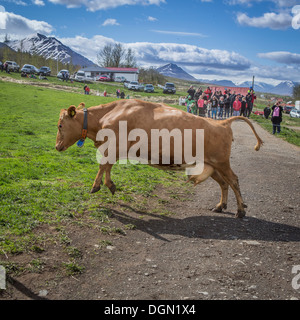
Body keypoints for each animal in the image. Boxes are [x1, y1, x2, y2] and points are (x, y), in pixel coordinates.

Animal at [56, 99, 262, 218]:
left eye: (59, 125)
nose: (56, 146)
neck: (108, 114)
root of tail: (223, 123)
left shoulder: (114, 146)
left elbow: (103, 165)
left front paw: (96, 186)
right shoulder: (114, 149)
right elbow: (107, 167)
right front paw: (110, 185)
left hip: (222, 163)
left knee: (233, 180)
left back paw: (241, 210)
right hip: (212, 165)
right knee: (224, 183)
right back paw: (220, 206)